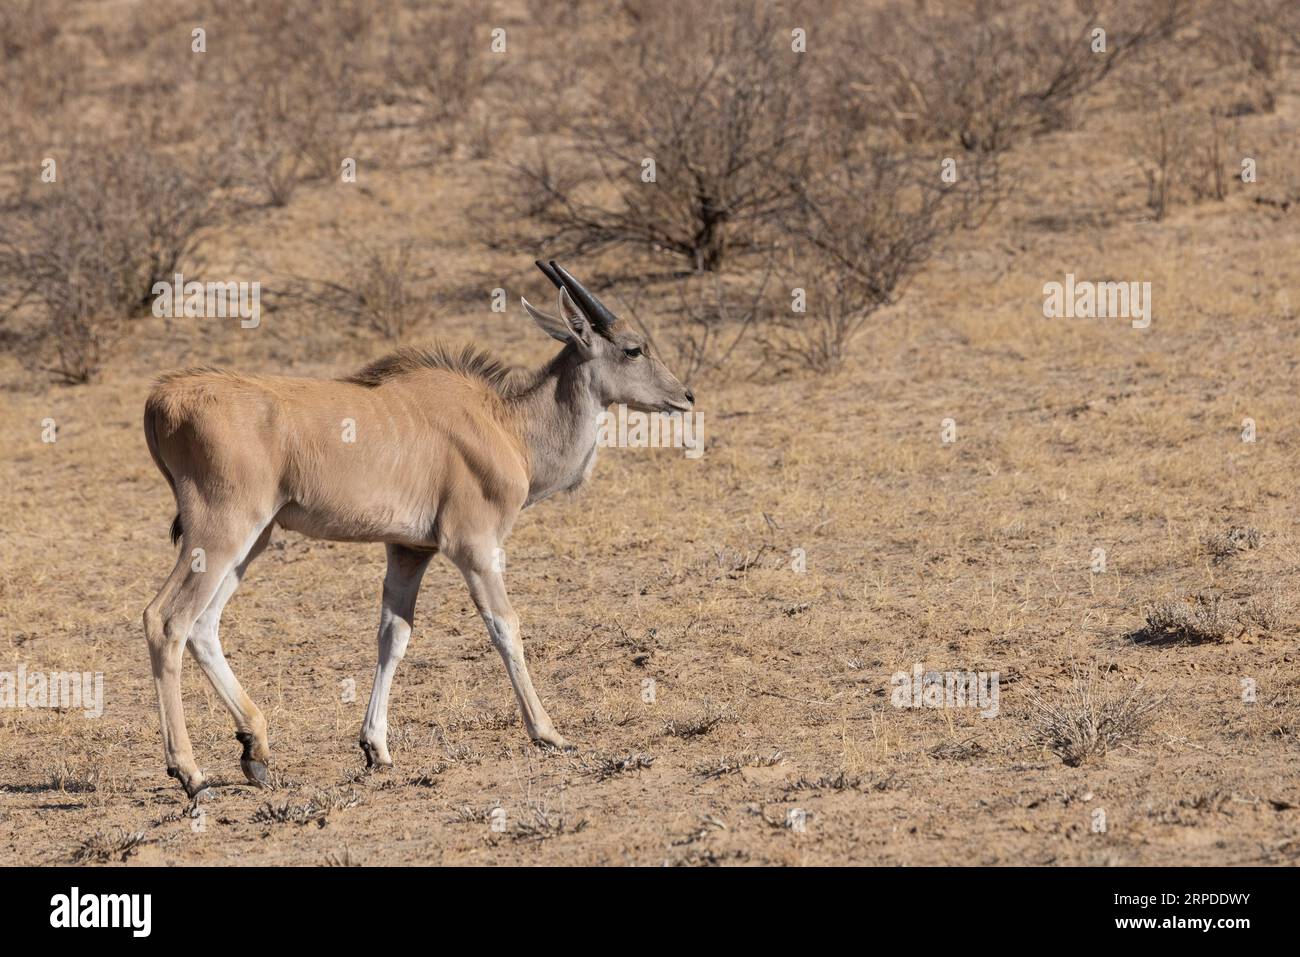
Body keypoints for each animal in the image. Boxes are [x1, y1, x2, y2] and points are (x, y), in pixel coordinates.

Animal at [143, 261, 696, 800]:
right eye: (633, 349)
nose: (685, 396)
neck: (505, 425)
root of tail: (160, 399)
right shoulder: (474, 546)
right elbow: (505, 627)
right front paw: (548, 732)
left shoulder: (409, 550)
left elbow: (394, 634)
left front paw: (376, 748)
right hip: (221, 532)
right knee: (166, 620)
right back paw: (190, 773)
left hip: (250, 542)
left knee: (204, 625)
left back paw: (254, 749)